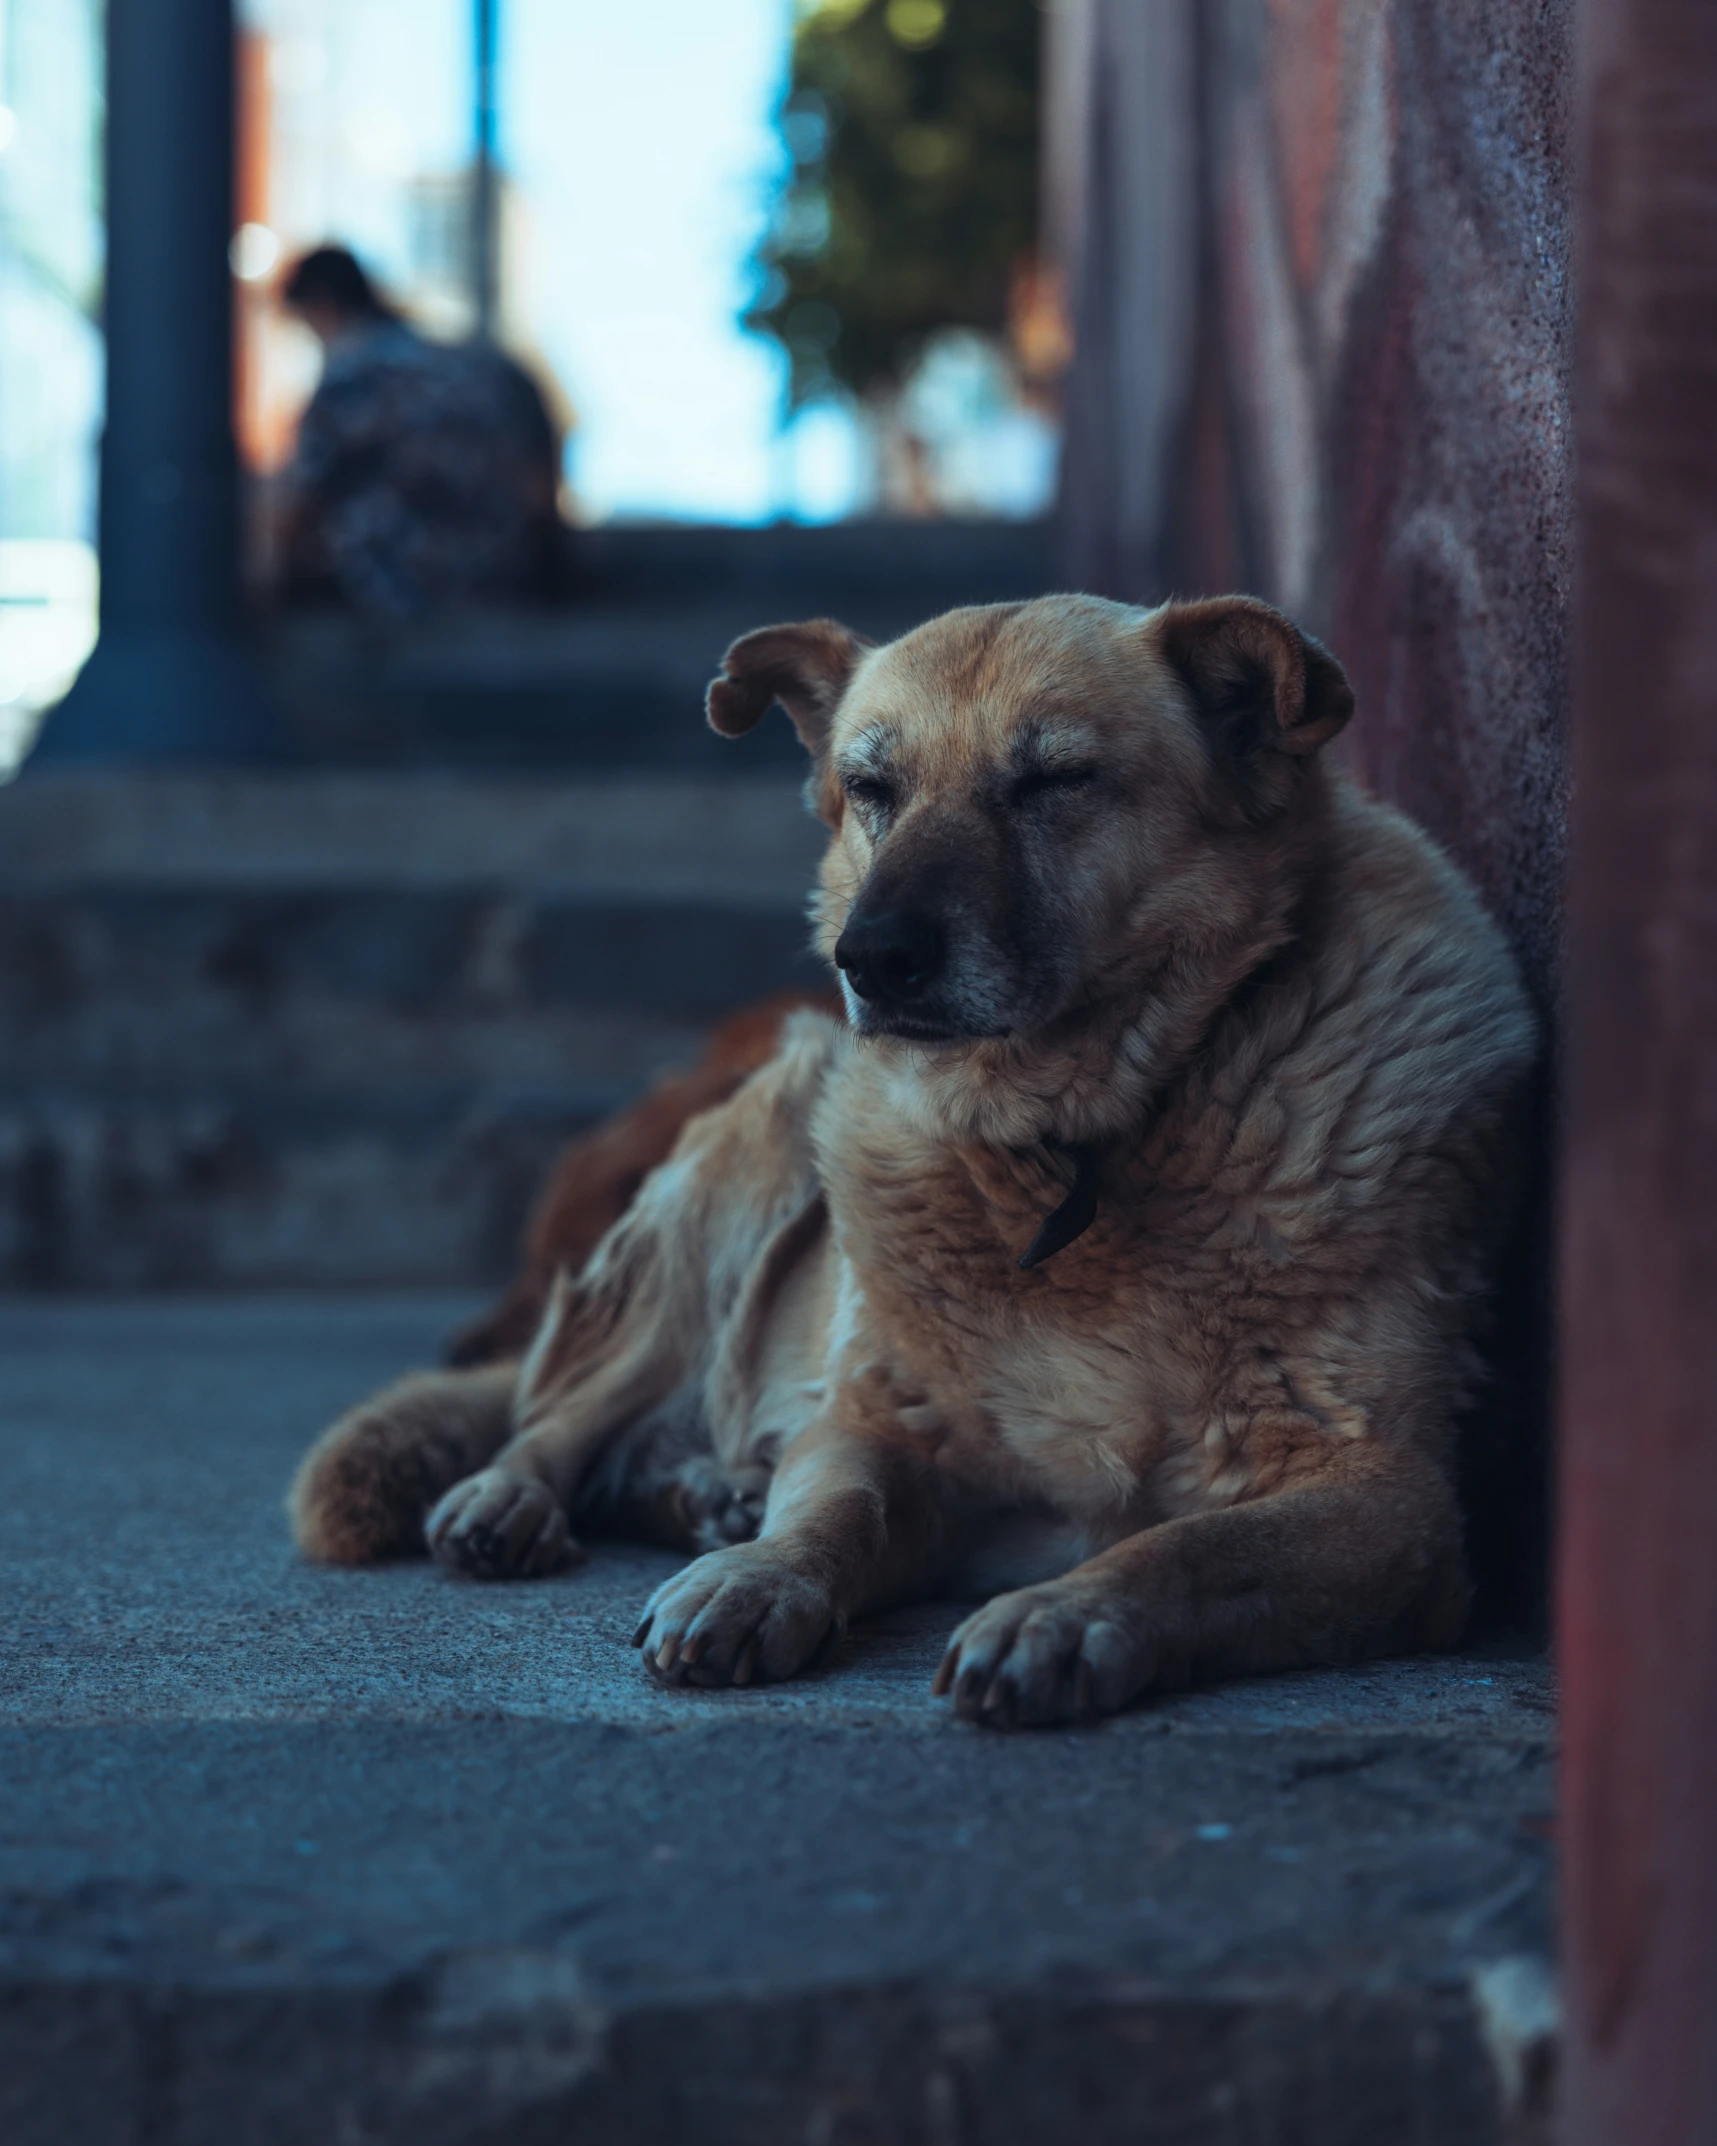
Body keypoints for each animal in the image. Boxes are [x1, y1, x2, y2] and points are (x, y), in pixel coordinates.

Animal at [287, 600, 1536, 1725]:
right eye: (871, 789)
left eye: (1055, 781)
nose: (872, 959)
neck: (1072, 1150)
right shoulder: (880, 1431)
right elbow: (835, 1513)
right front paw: (761, 1576)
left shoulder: (1391, 1504)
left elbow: (1187, 1548)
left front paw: (1063, 1612)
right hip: (756, 1153)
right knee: (568, 1409)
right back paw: (531, 1495)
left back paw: (710, 1492)